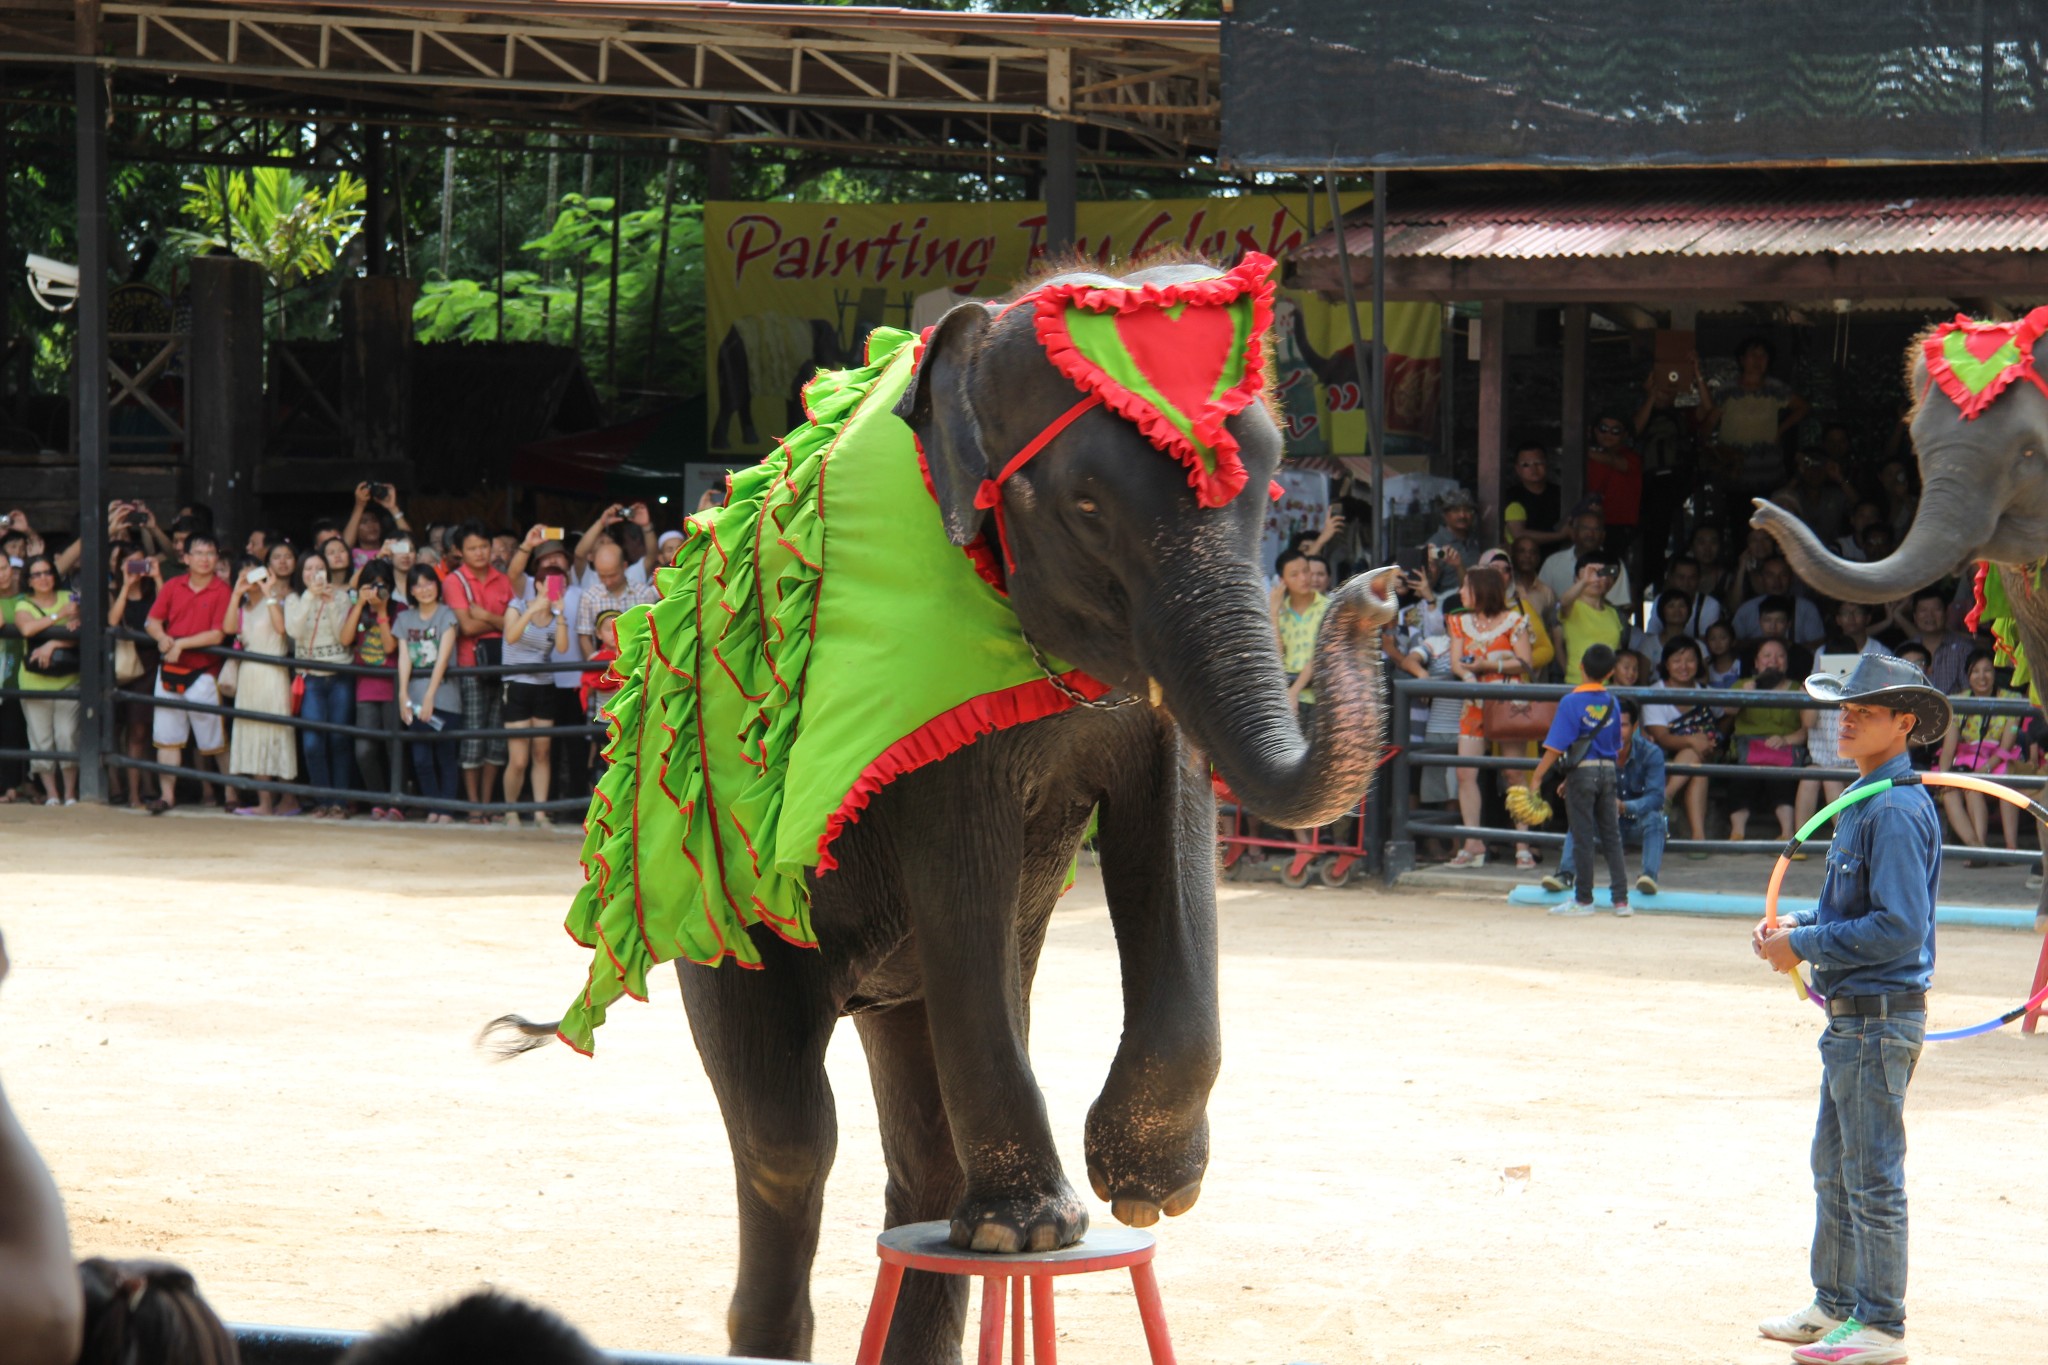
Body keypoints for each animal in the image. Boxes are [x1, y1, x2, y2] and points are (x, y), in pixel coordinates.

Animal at [495, 258, 1400, 1365]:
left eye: (1267, 479)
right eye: (1086, 503)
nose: (1377, 586)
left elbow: (1173, 842)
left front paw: (1141, 1198)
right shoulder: (912, 709)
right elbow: (967, 873)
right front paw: (1039, 1228)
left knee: (914, 1143)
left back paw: (961, 1224)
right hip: (720, 906)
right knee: (787, 1135)